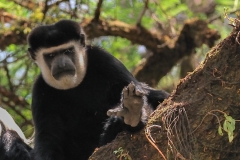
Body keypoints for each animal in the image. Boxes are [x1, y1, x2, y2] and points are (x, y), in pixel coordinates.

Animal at [0, 19, 169, 159]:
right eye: (51, 55)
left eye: (67, 51)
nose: (62, 64)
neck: (73, 85)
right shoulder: (41, 93)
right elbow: (47, 138)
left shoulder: (105, 60)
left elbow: (139, 91)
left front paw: (135, 106)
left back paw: (131, 112)